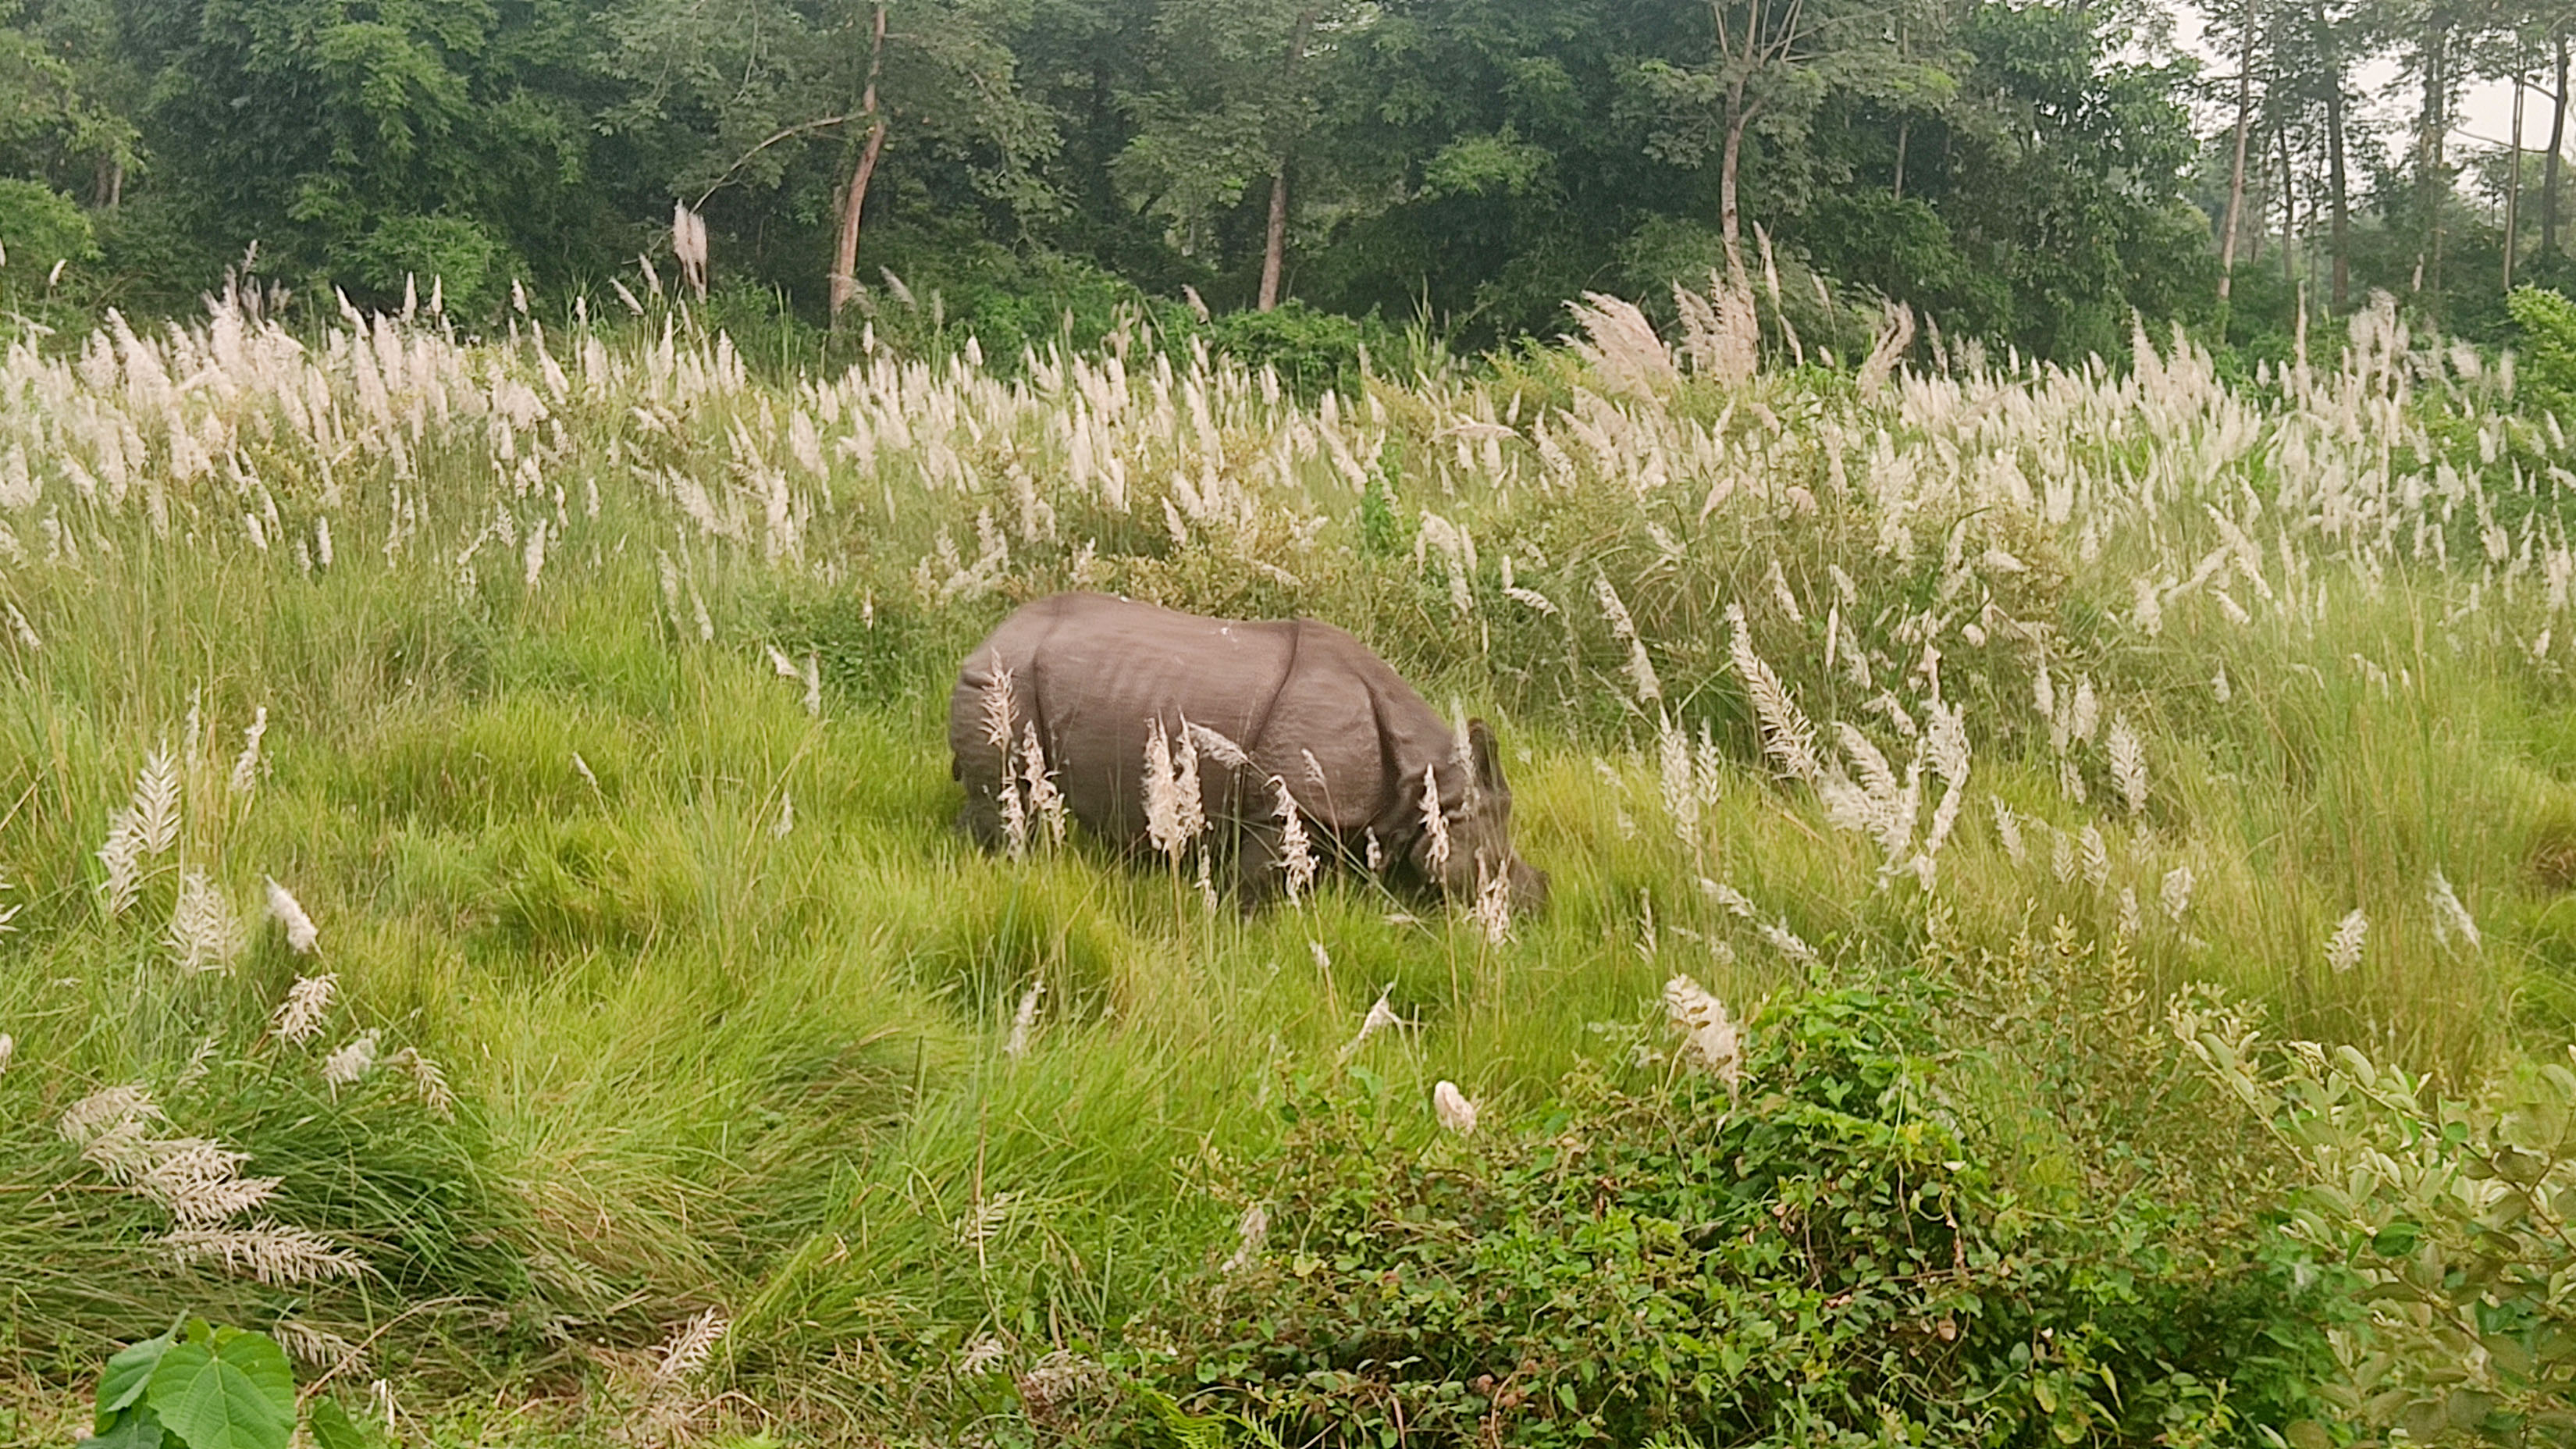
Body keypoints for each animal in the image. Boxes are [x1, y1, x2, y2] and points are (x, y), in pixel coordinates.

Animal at [953, 587, 1535, 902]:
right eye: (1489, 865)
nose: (1539, 904)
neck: (1427, 777)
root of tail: (986, 640)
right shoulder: (1284, 806)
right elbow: (1255, 881)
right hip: (1002, 684)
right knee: (1008, 793)